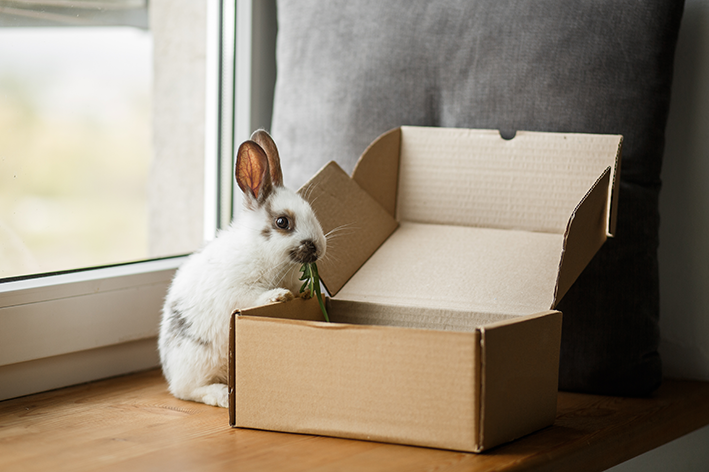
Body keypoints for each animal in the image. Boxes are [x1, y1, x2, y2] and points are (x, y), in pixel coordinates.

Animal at [158, 130, 326, 410]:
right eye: (282, 222)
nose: (320, 248)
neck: (262, 251)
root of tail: (170, 372)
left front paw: (303, 294)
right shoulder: (236, 291)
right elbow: (252, 296)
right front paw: (279, 296)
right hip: (199, 363)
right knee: (189, 391)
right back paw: (223, 396)